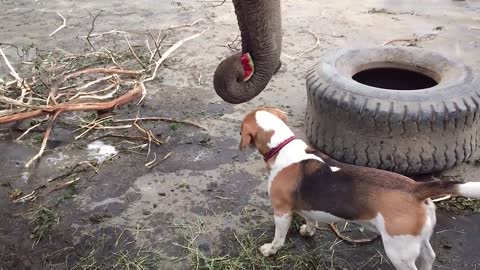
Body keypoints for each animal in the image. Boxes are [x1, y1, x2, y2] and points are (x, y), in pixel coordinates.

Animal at [239, 107, 480, 270]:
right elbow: (310, 218)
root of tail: (416, 188)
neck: (282, 146)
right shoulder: (306, 207)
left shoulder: (281, 211)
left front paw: (270, 250)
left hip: (398, 250)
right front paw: (308, 230)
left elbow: (279, 237)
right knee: (428, 257)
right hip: (418, 240)